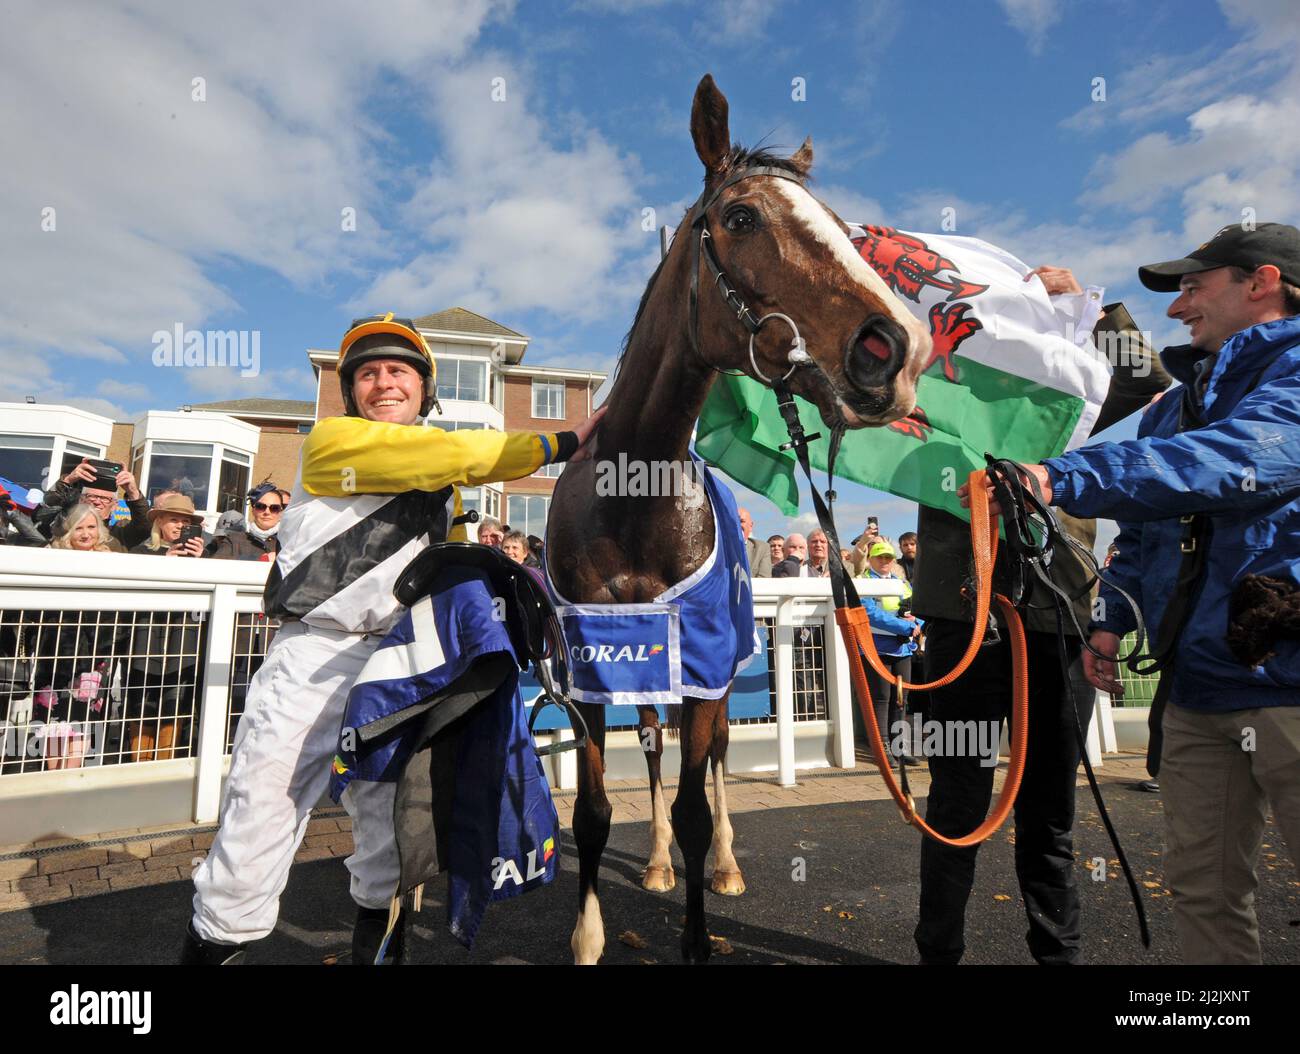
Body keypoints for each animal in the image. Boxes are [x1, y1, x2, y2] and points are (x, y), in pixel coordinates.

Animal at [543, 74, 930, 966]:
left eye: (844, 229)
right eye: (744, 217)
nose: (897, 346)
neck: (631, 500)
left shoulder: (707, 663)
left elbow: (695, 797)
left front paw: (699, 910)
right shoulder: (589, 673)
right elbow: (593, 813)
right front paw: (589, 934)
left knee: (713, 761)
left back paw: (720, 863)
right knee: (654, 750)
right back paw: (654, 862)